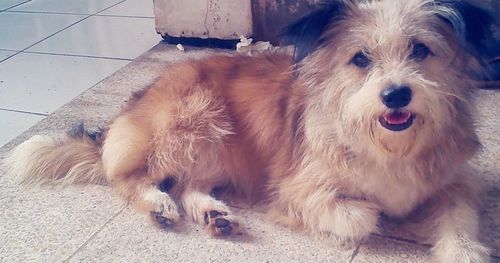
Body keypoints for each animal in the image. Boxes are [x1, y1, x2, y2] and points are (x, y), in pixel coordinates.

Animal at [5, 1, 494, 262]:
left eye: (420, 50)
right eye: (360, 59)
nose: (396, 96)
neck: (390, 143)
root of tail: (133, 106)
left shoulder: (453, 184)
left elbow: (459, 219)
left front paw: (463, 250)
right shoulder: (297, 188)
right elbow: (360, 215)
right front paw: (375, 212)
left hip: (214, 147)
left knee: (190, 184)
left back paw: (213, 215)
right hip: (192, 120)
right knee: (130, 178)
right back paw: (159, 205)